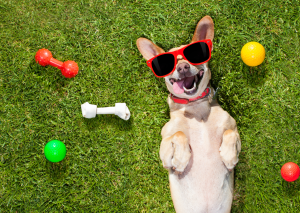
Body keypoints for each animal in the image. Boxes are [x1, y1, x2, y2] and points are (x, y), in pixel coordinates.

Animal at [136, 15, 241, 212]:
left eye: (192, 56)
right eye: (168, 64)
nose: (183, 67)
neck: (196, 108)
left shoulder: (234, 128)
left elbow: (230, 133)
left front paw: (229, 156)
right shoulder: (164, 154)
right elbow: (179, 134)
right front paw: (181, 158)